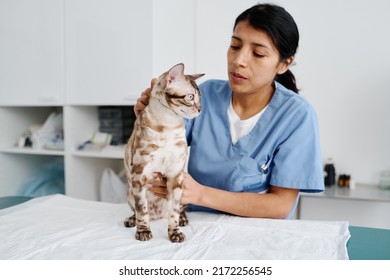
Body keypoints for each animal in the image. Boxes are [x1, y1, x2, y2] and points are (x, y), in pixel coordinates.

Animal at [124, 62, 204, 242]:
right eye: (190, 97)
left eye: (200, 97)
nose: (200, 109)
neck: (168, 125)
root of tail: (158, 216)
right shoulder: (139, 174)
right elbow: (142, 210)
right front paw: (143, 231)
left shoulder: (176, 175)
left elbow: (173, 212)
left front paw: (175, 233)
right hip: (130, 191)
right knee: (139, 211)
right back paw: (131, 220)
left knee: (179, 210)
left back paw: (182, 219)